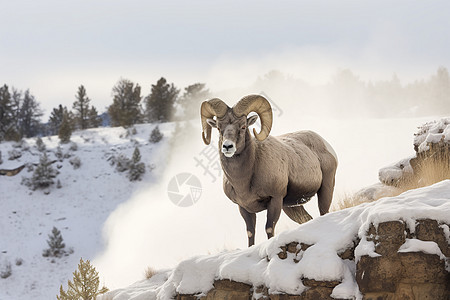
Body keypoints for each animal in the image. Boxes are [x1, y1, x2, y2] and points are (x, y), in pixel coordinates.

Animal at [200, 95, 338, 246]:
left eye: (243, 126)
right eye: (219, 128)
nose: (227, 147)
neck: (243, 183)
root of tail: (325, 144)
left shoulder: (275, 199)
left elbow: (269, 228)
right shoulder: (244, 208)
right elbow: (250, 233)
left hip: (326, 189)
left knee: (324, 212)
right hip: (291, 207)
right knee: (307, 219)